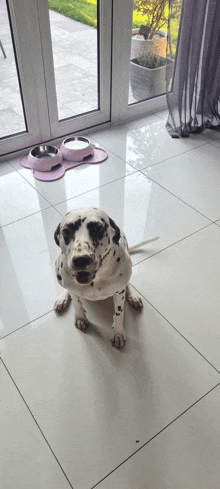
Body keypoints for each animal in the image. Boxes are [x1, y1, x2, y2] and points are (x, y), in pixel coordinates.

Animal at [53, 206, 144, 346]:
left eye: (99, 229)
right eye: (66, 231)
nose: (81, 259)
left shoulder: (119, 292)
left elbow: (119, 313)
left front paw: (118, 332)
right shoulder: (73, 289)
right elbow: (77, 303)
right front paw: (80, 317)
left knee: (127, 284)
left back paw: (133, 296)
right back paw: (62, 299)